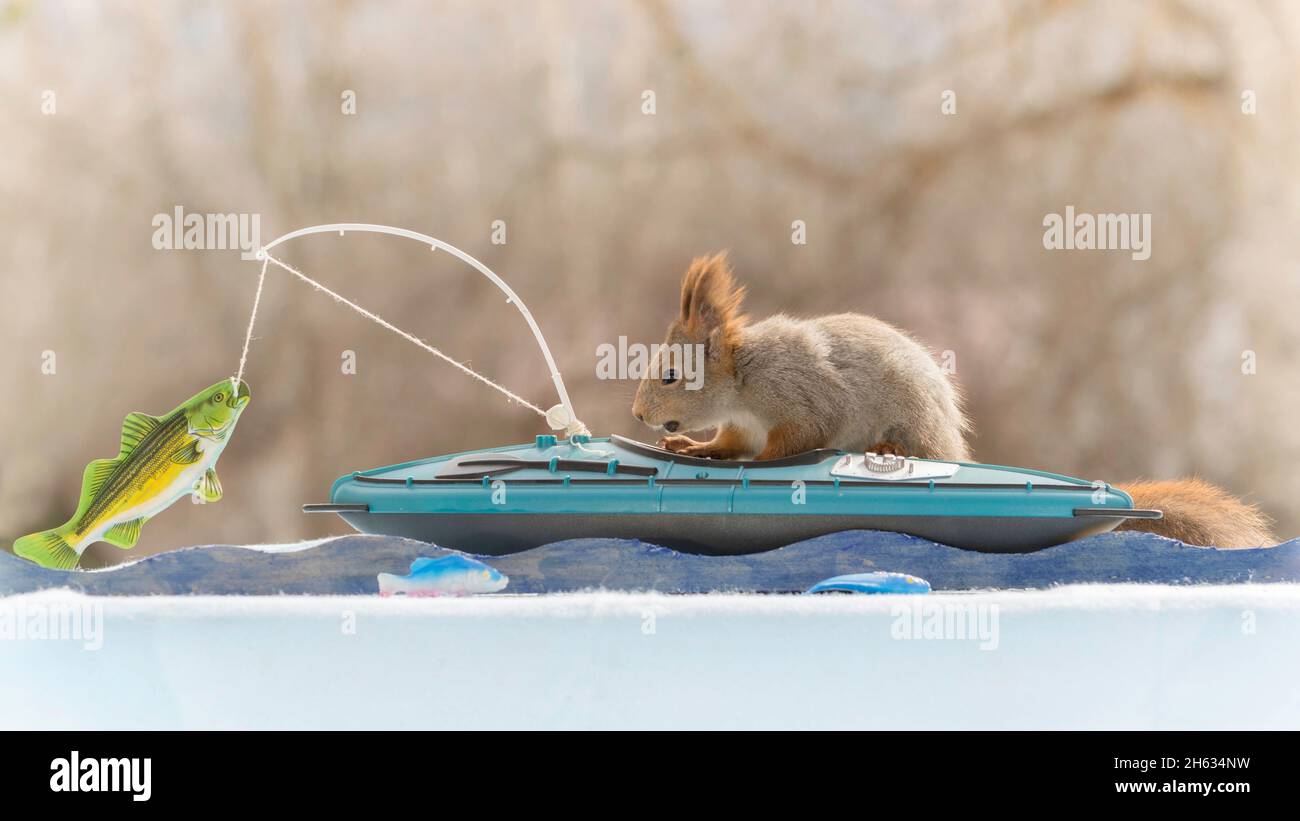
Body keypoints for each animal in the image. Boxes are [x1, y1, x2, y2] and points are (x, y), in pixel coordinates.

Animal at [631, 252, 1275, 548]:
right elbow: (727, 445)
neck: (742, 381)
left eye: (671, 375)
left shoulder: (800, 396)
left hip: (911, 425)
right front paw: (695, 449)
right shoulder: (742, 423)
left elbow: (799, 439)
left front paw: (759, 466)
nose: (637, 415)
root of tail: (951, 448)